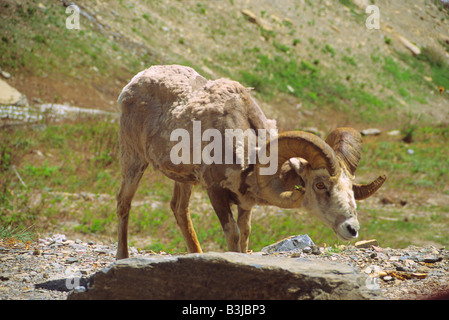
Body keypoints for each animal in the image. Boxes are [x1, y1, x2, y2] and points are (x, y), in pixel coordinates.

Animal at [115, 65, 384, 260]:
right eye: (320, 185)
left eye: (351, 186)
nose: (352, 229)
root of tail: (132, 84)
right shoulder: (215, 192)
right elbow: (232, 234)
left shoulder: (245, 204)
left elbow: (244, 235)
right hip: (133, 160)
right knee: (124, 203)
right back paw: (122, 257)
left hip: (183, 179)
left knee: (179, 209)